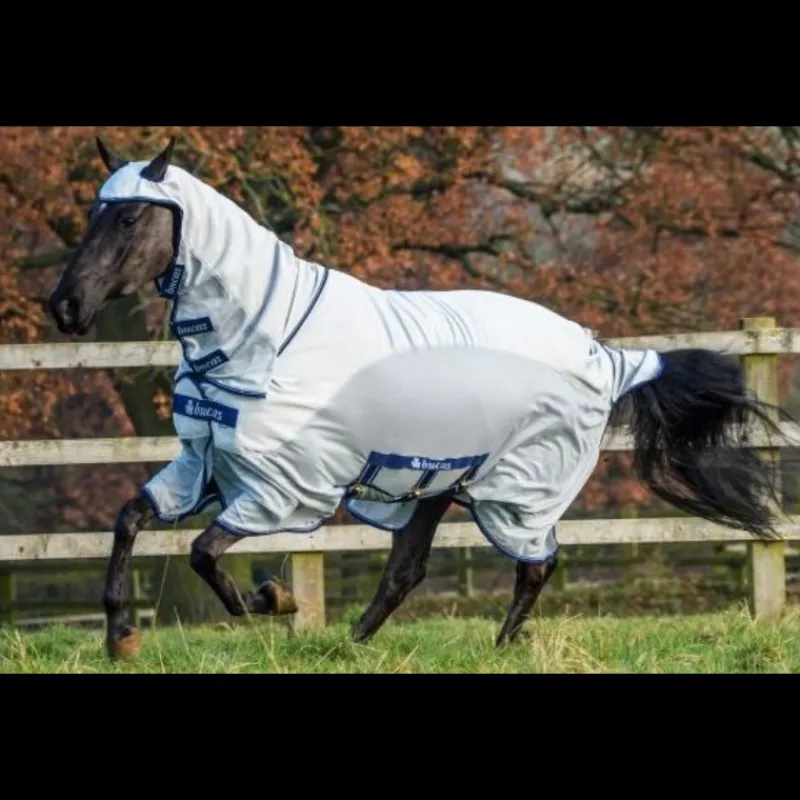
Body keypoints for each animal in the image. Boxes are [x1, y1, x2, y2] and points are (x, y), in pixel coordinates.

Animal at [48, 136, 789, 661]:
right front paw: (119, 637)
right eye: (93, 213)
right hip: (433, 484)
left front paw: (276, 599)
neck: (269, 335)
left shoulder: (284, 489)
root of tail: (605, 355)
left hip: (516, 492)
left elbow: (204, 555)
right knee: (408, 570)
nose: (65, 306)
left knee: (537, 563)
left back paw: (500, 646)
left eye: (132, 217)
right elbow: (128, 520)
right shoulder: (204, 466)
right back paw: (354, 645)